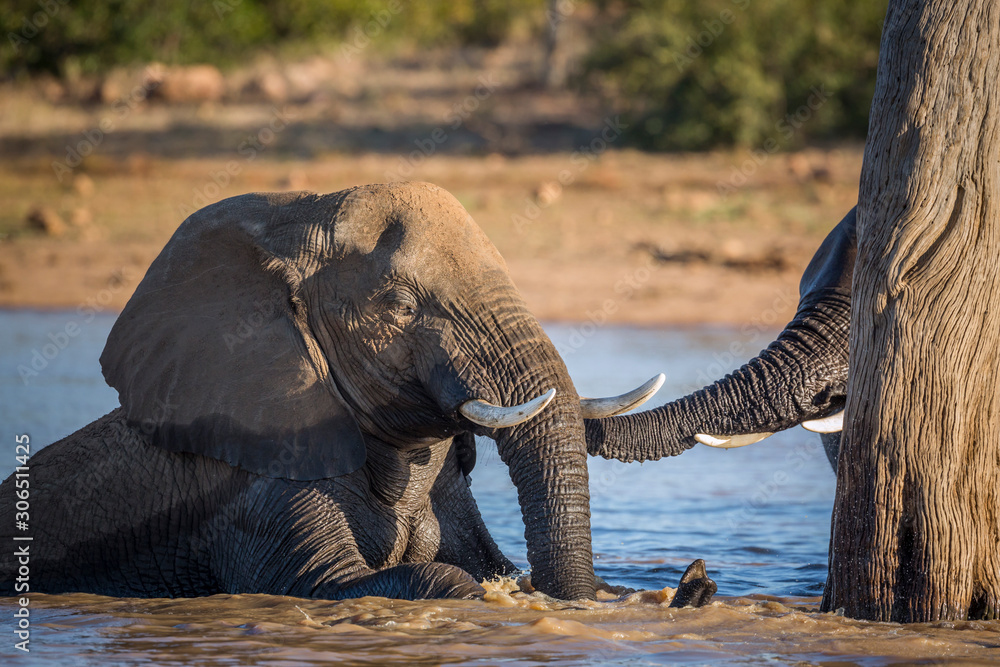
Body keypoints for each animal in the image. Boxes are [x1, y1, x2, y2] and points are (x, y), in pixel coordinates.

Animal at [0, 182, 716, 604]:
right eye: (399, 305)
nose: (695, 576)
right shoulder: (253, 490)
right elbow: (335, 581)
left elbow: (488, 565)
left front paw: (687, 591)